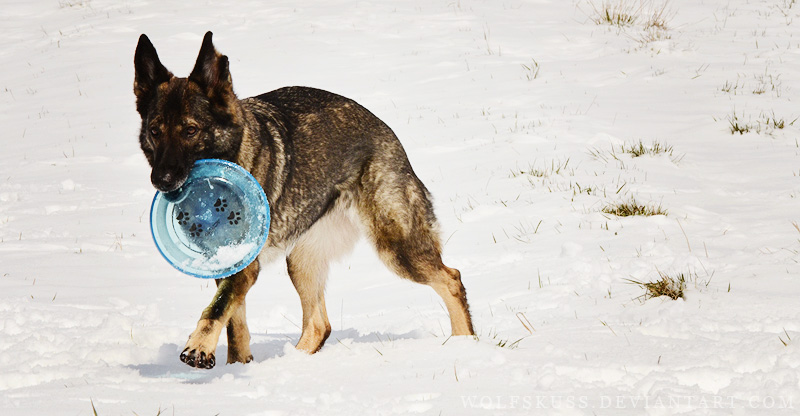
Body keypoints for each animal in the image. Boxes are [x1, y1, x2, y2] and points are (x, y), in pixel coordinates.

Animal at [134, 33, 472, 370]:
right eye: (155, 131)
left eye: (191, 130)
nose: (162, 180)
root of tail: (384, 130)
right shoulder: (229, 266)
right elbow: (234, 323)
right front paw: (238, 366)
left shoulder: (245, 267)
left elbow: (218, 308)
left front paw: (198, 347)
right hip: (301, 260)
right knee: (320, 325)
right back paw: (292, 364)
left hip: (396, 246)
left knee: (451, 279)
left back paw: (465, 344)